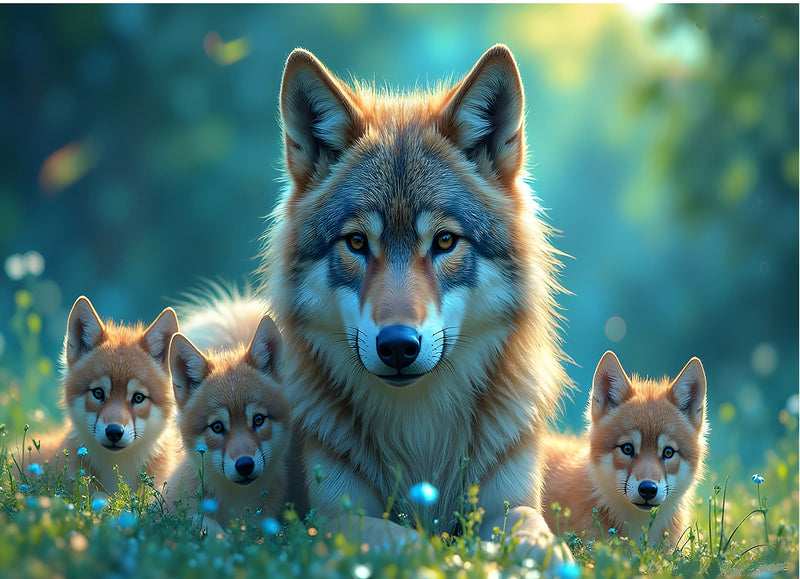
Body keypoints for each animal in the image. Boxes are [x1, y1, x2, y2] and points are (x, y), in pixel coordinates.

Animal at [258, 44, 572, 562]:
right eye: (358, 243)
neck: (419, 433)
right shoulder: (329, 519)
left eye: (444, 241)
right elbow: (400, 538)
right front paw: (445, 558)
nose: (398, 346)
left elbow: (533, 531)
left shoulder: (513, 500)